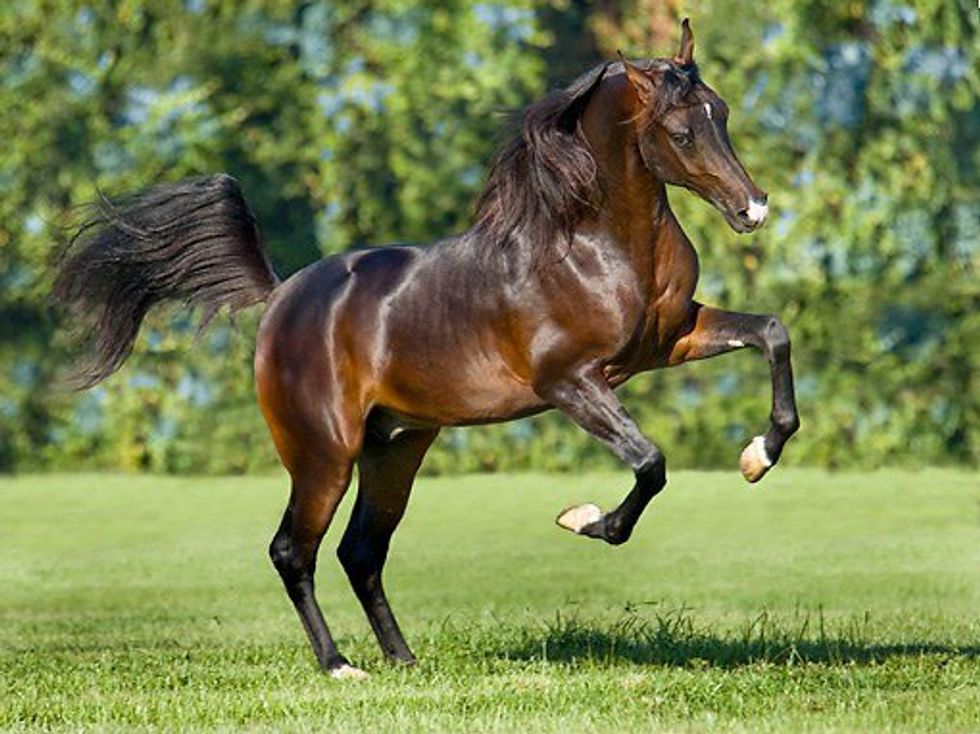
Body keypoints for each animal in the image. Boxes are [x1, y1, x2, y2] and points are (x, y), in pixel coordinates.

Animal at [53, 20, 799, 679]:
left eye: (722, 111)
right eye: (680, 130)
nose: (753, 209)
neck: (593, 246)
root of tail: (282, 293)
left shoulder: (670, 341)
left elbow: (772, 333)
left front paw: (757, 458)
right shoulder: (570, 382)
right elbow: (649, 463)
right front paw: (583, 519)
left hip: (396, 447)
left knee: (360, 552)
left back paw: (403, 660)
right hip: (324, 455)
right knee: (294, 550)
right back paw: (340, 666)